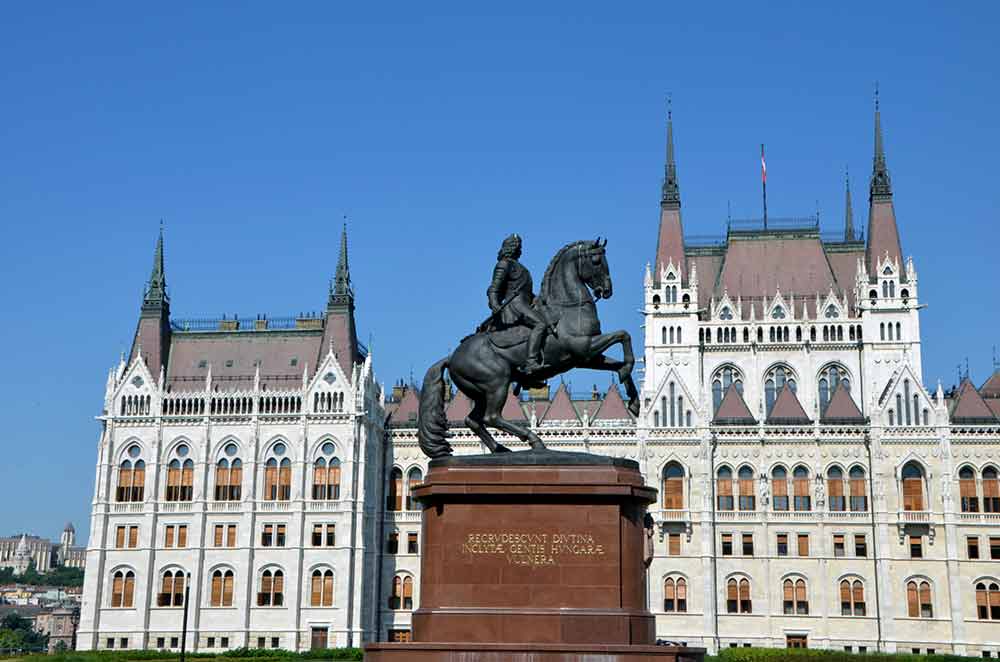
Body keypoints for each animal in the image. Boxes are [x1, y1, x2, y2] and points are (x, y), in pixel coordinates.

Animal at [416, 240, 640, 462]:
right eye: (596, 260)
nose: (607, 290)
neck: (567, 309)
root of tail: (452, 356)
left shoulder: (587, 358)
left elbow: (619, 358)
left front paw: (633, 399)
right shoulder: (584, 348)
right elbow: (623, 335)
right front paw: (628, 374)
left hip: (480, 392)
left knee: (473, 420)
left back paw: (500, 448)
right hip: (497, 382)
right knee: (492, 416)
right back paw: (533, 440)